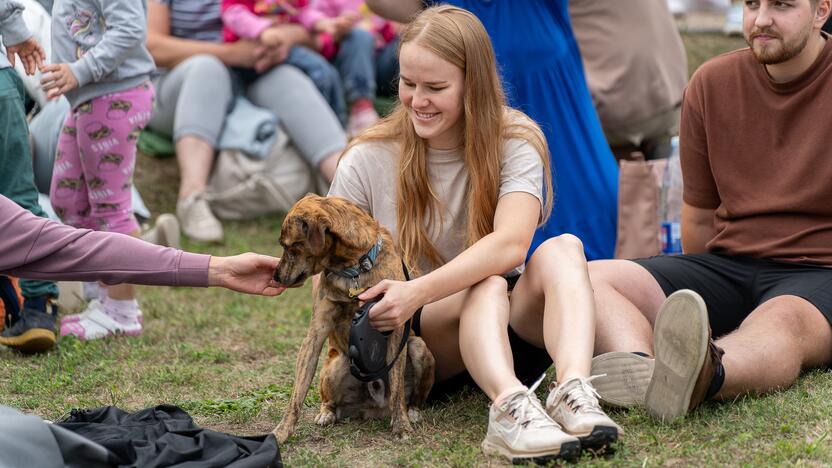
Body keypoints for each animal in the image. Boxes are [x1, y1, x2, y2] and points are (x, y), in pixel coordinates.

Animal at [276, 194, 438, 442]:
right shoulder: (315, 333)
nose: (275, 276)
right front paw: (282, 432)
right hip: (336, 365)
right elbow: (297, 393)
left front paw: (401, 426)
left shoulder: (395, 325)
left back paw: (413, 412)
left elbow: (397, 389)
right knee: (330, 401)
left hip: (419, 347)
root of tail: (375, 408)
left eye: (291, 247)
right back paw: (327, 414)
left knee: (412, 397)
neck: (353, 269)